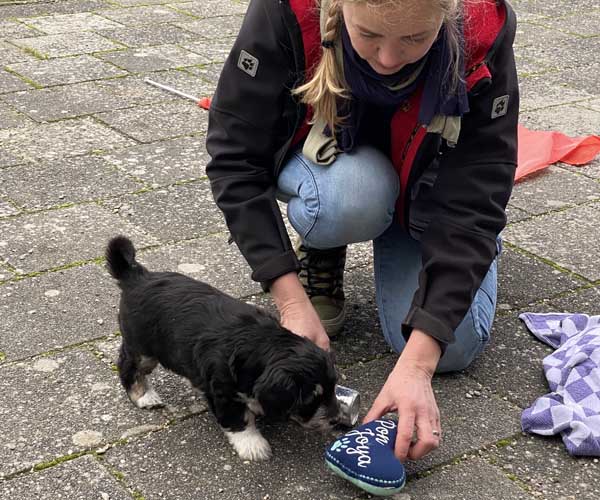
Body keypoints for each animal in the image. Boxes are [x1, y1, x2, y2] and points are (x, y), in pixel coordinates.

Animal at [105, 236, 340, 461]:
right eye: (310, 398)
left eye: (332, 388)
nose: (337, 420)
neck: (261, 343)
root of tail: (136, 277)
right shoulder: (223, 389)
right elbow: (238, 418)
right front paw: (252, 444)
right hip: (142, 347)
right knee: (128, 365)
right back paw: (144, 396)